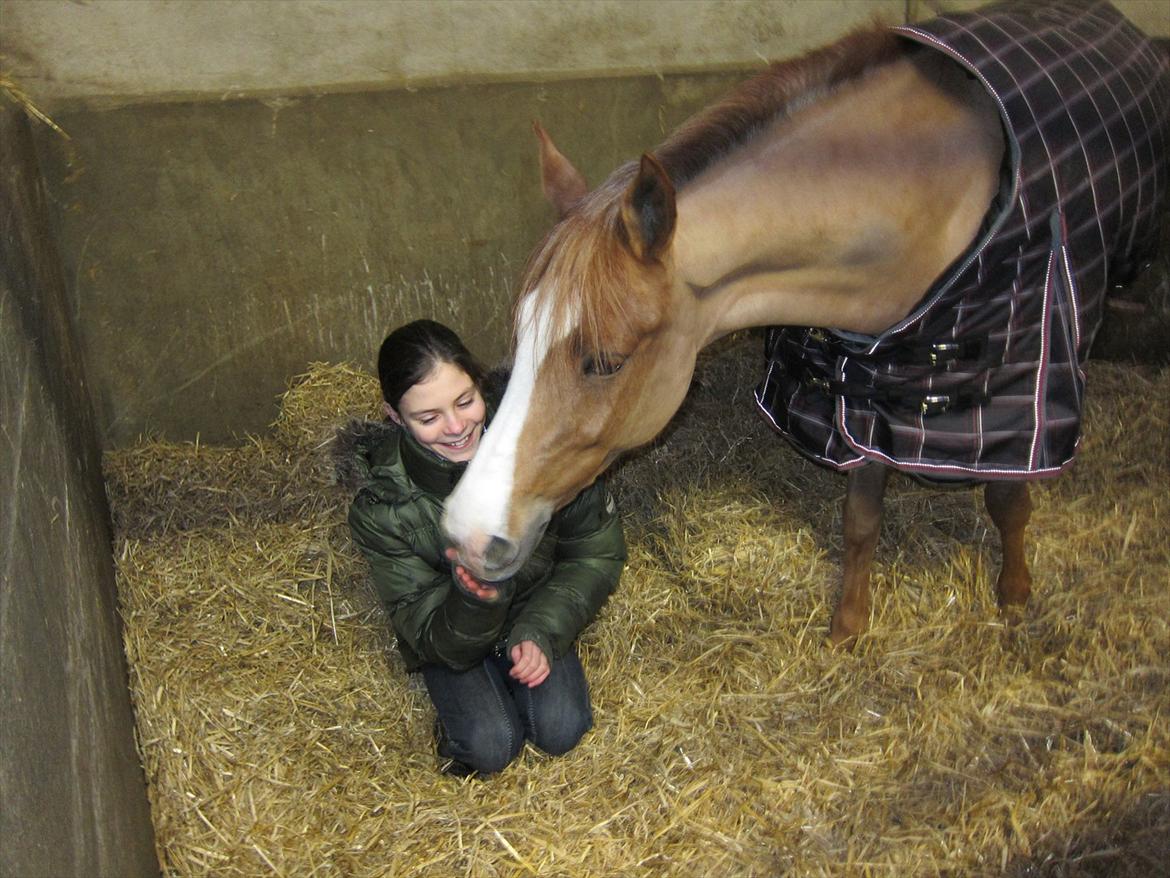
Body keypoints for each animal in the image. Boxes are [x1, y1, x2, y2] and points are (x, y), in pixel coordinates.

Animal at [439, 0, 1170, 646]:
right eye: (520, 338)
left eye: (604, 362)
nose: (465, 534)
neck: (918, 186)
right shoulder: (869, 377)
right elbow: (862, 514)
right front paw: (850, 626)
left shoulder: (1012, 373)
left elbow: (1010, 501)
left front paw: (1015, 594)